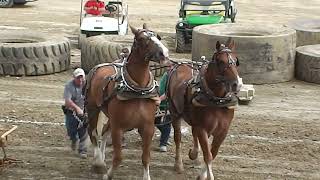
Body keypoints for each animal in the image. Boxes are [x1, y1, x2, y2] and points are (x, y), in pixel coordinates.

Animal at [84, 23, 170, 180]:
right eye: (141, 39)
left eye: (158, 36)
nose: (164, 53)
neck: (138, 90)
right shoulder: (118, 128)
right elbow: (118, 157)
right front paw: (107, 175)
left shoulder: (147, 128)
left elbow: (146, 157)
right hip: (93, 108)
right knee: (93, 132)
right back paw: (98, 162)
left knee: (103, 132)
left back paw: (102, 157)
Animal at [169, 40, 241, 179]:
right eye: (220, 61)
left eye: (236, 60)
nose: (236, 84)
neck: (216, 100)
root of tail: (180, 65)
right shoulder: (202, 128)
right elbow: (208, 155)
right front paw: (207, 176)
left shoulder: (222, 131)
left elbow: (213, 153)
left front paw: (202, 174)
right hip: (174, 113)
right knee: (178, 138)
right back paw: (178, 164)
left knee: (194, 133)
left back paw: (194, 154)